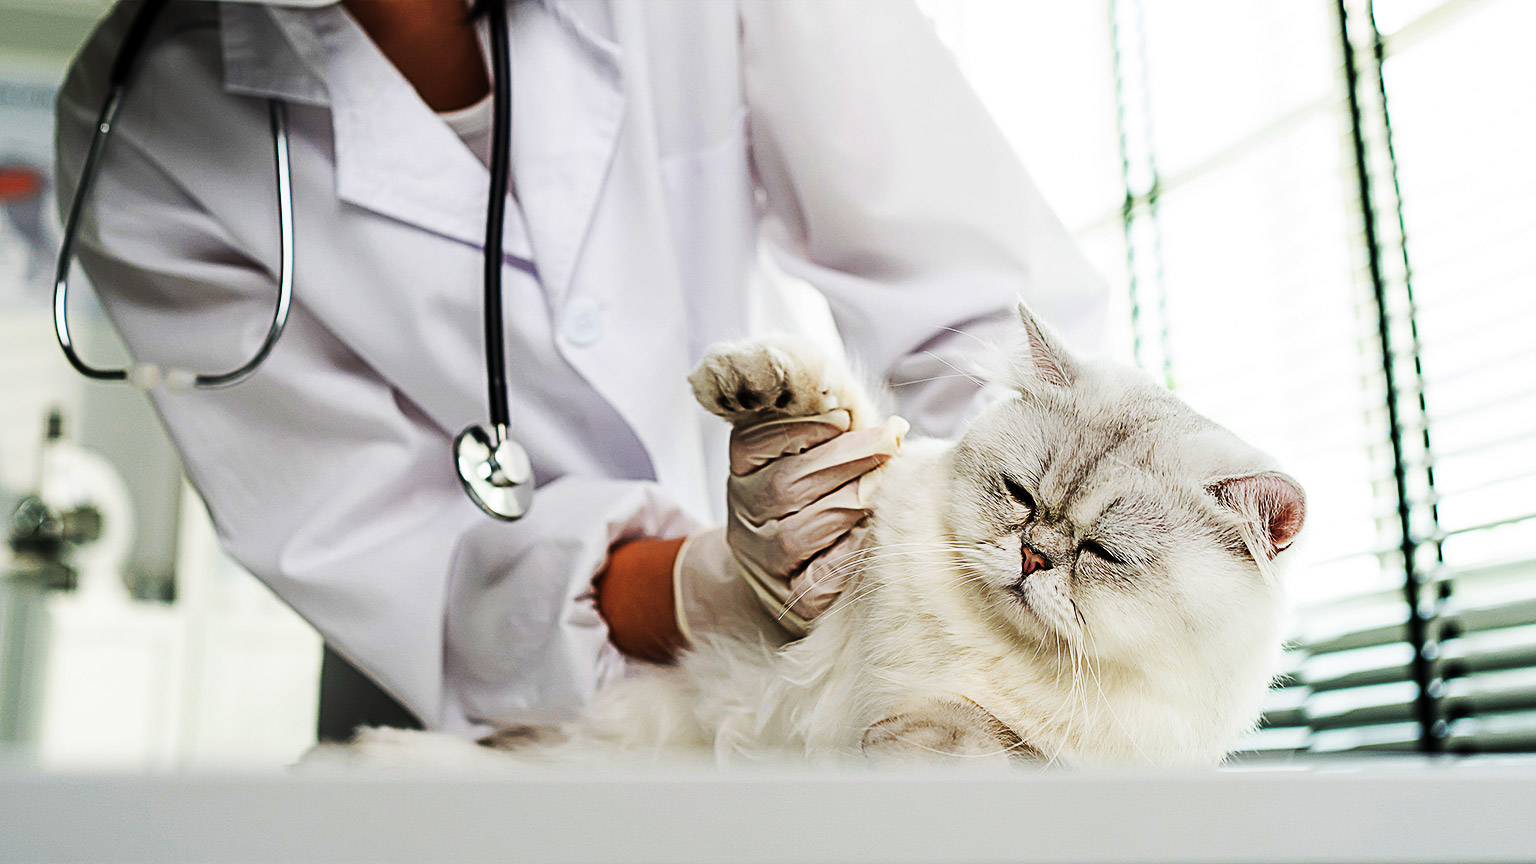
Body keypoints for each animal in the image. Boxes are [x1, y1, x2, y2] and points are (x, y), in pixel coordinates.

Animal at [351, 302, 1308, 765]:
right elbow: (841, 414)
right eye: (1019, 496)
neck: (993, 642)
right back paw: (379, 755)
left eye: (1103, 554)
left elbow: (968, 735)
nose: (1033, 555)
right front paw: (753, 384)